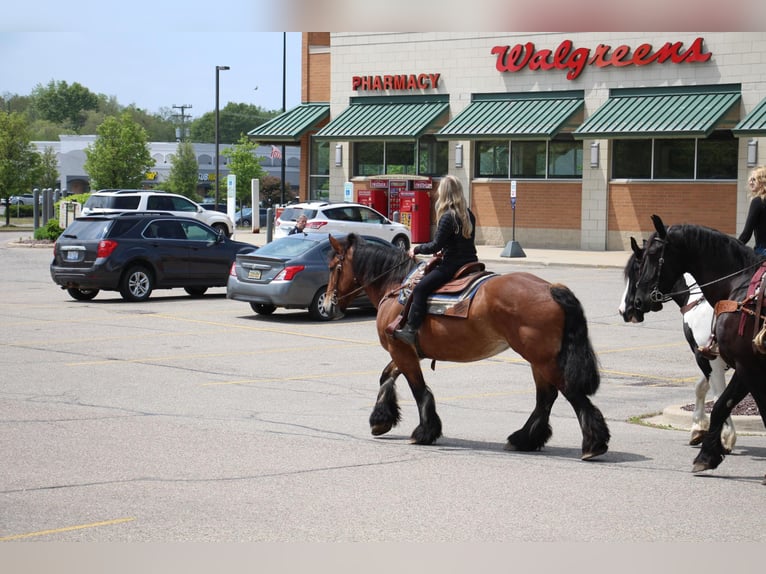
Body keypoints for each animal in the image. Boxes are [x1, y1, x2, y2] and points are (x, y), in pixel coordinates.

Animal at [324, 232, 612, 462]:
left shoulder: (402, 350)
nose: (327, 305)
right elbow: (387, 377)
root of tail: (552, 288)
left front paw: (424, 431)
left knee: (569, 394)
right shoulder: (406, 351)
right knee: (546, 398)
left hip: (542, 359)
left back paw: (593, 444)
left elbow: (418, 390)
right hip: (539, 360)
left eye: (333, 266)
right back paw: (524, 439)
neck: (396, 286)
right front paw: (381, 420)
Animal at [620, 236, 736, 452]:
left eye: (637, 270)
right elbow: (702, 387)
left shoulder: (709, 358)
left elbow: (719, 396)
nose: (625, 310)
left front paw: (725, 435)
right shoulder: (711, 358)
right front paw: (698, 428)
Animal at [632, 215, 766, 482]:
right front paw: (707, 442)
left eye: (652, 255)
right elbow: (720, 399)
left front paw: (709, 451)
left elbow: (722, 402)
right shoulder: (739, 365)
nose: (637, 301)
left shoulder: (742, 364)